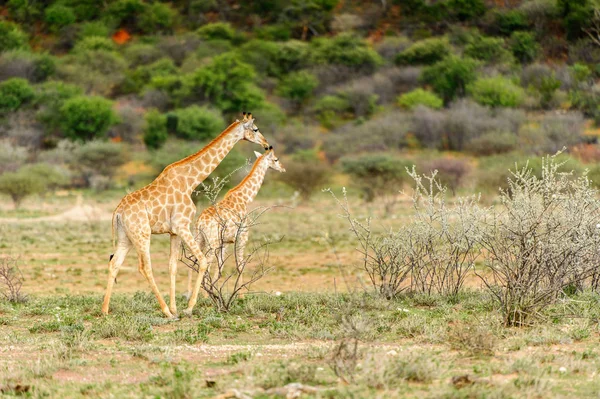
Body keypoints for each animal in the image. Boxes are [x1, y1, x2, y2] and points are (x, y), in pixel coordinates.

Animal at [101, 112, 270, 318]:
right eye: (255, 129)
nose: (266, 144)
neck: (190, 182)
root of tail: (117, 211)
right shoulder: (182, 225)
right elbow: (203, 261)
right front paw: (188, 307)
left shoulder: (174, 231)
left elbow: (172, 266)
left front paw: (176, 307)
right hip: (142, 234)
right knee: (144, 267)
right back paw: (165, 311)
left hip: (126, 236)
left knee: (115, 263)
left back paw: (105, 310)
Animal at [184, 149, 284, 304]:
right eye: (275, 159)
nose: (283, 169)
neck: (245, 198)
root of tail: (200, 222)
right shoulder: (242, 235)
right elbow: (240, 265)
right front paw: (241, 296)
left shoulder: (226, 241)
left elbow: (221, 266)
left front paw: (217, 291)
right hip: (212, 242)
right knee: (206, 262)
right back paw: (204, 297)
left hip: (199, 237)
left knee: (192, 258)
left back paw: (189, 293)